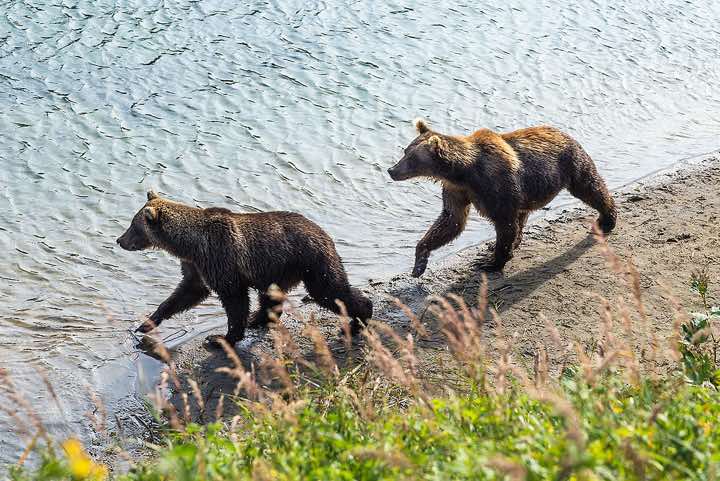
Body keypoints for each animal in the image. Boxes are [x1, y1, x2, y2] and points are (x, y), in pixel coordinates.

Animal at [116, 191, 373, 346]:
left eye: (132, 226)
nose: (119, 240)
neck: (189, 245)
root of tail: (325, 233)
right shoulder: (196, 266)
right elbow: (186, 292)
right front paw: (146, 322)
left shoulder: (220, 258)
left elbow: (233, 299)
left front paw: (222, 338)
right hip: (279, 268)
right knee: (271, 295)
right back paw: (258, 318)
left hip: (311, 261)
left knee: (330, 290)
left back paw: (360, 317)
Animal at [387, 119, 617, 276]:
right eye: (405, 151)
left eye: (412, 158)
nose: (391, 170)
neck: (463, 173)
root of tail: (565, 132)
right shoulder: (456, 190)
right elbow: (451, 220)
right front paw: (419, 262)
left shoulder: (496, 186)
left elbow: (505, 224)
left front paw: (491, 263)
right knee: (523, 215)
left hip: (571, 164)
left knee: (590, 188)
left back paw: (607, 219)